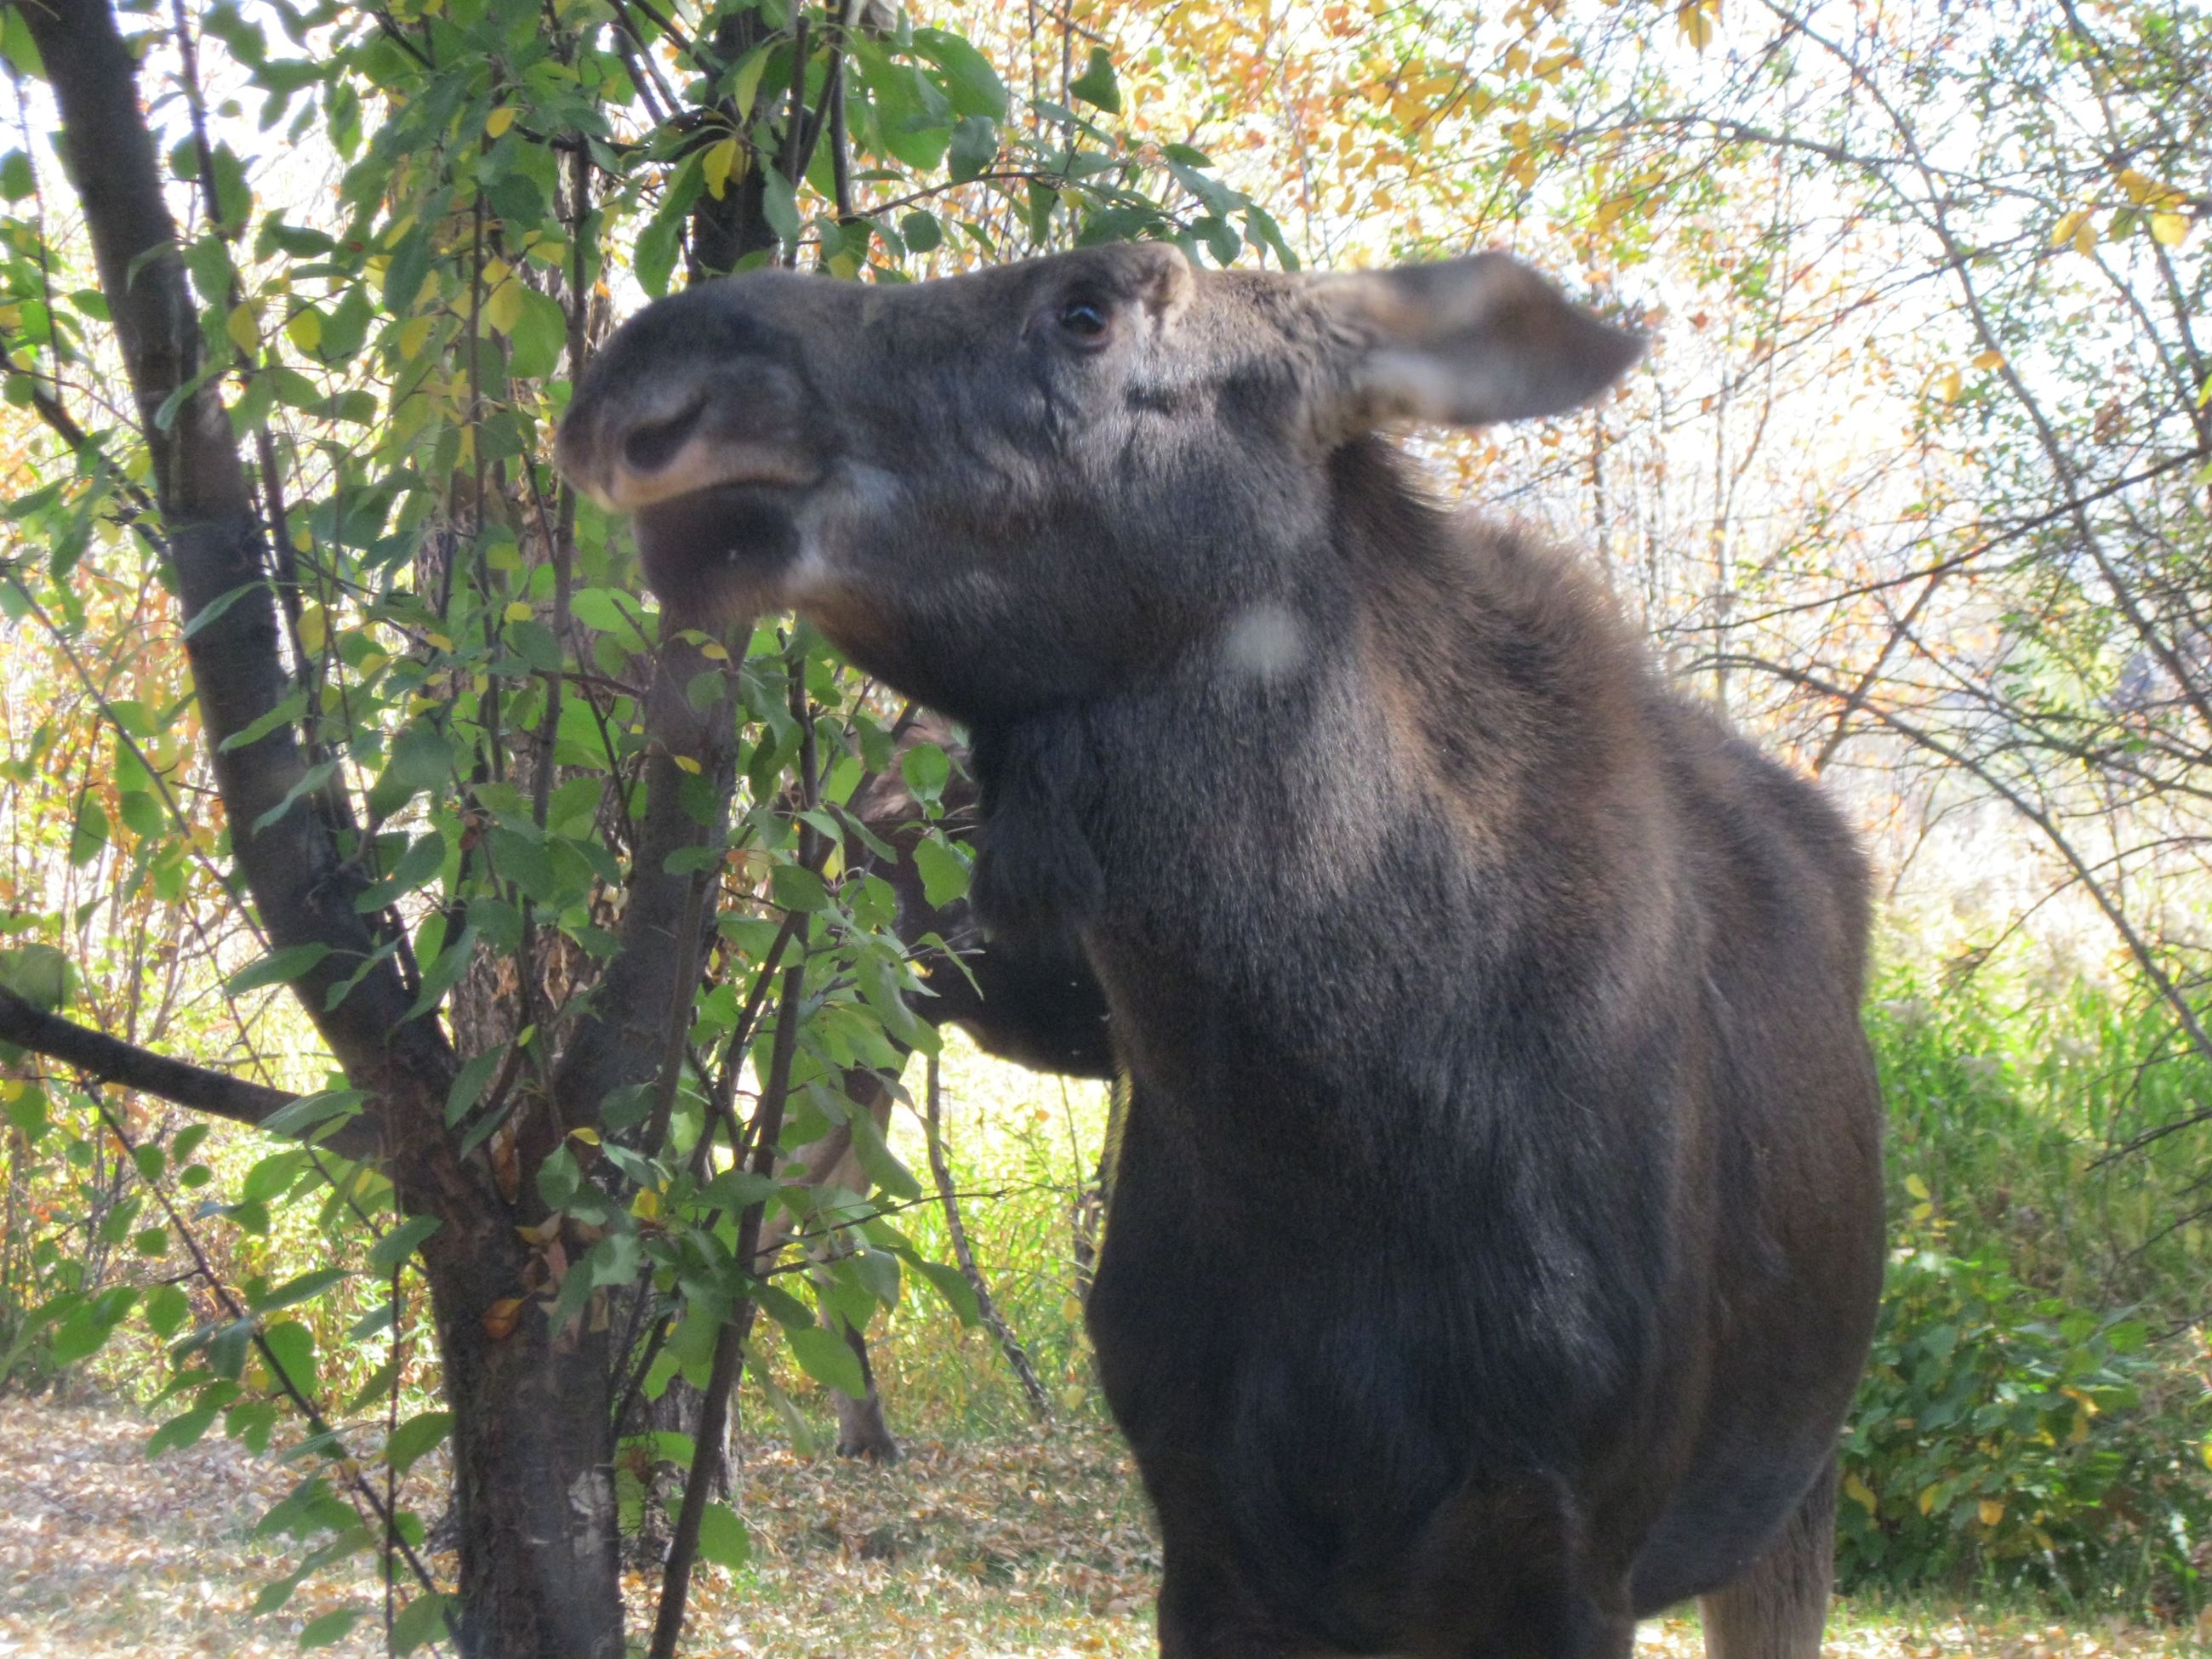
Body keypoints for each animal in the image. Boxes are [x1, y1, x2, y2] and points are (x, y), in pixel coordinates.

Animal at [558, 241, 1886, 1659]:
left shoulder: (1568, 1553)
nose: (648, 373)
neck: (1326, 1137)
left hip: (1792, 1492)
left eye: (1087, 307)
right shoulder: (1209, 1532)